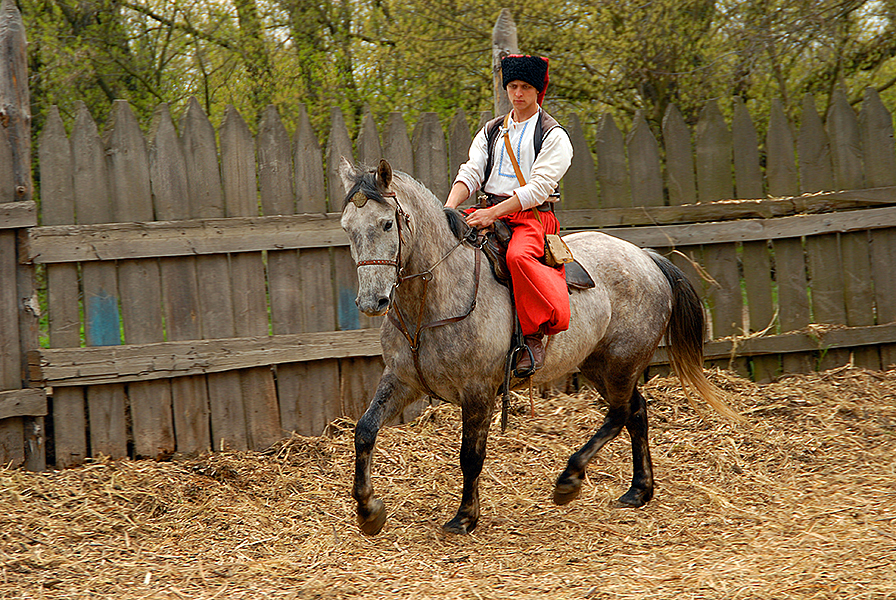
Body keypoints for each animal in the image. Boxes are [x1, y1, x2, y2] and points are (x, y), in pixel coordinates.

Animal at [340, 158, 740, 536]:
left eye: (386, 224)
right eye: (347, 228)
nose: (372, 301)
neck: (434, 298)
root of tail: (645, 257)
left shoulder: (478, 392)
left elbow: (470, 456)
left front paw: (465, 517)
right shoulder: (401, 380)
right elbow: (364, 431)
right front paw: (368, 510)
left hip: (621, 362)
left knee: (621, 413)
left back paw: (570, 479)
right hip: (598, 365)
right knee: (636, 411)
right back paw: (638, 490)